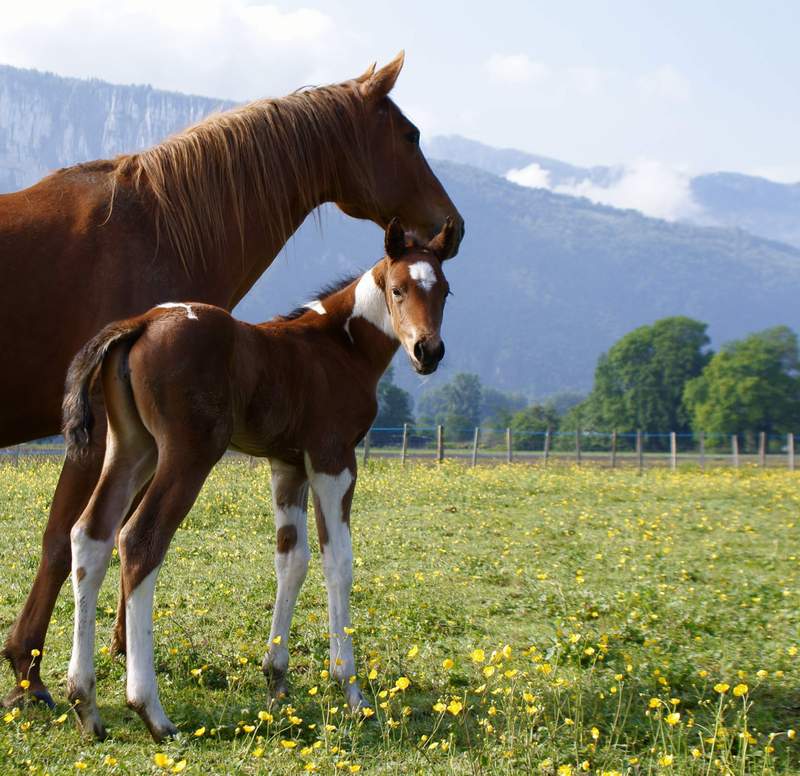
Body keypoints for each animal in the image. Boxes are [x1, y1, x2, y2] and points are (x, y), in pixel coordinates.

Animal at [61, 217, 456, 740]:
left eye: (445, 291)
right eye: (398, 289)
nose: (427, 351)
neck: (336, 347)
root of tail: (142, 323)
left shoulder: (287, 466)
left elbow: (292, 560)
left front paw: (276, 679)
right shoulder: (333, 460)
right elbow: (338, 563)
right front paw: (351, 691)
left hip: (131, 448)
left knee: (91, 536)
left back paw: (85, 702)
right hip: (189, 453)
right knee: (141, 540)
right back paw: (152, 711)